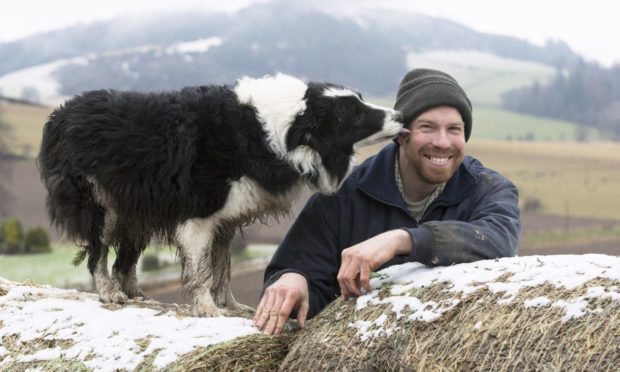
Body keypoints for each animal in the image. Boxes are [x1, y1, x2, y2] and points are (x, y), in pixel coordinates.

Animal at [40, 73, 406, 316]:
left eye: (360, 100)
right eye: (354, 114)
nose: (401, 115)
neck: (272, 130)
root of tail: (60, 115)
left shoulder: (225, 219)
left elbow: (222, 266)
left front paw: (230, 305)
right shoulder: (199, 215)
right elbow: (202, 269)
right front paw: (207, 309)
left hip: (139, 208)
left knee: (124, 259)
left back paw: (136, 294)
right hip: (100, 203)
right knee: (98, 253)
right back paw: (110, 294)